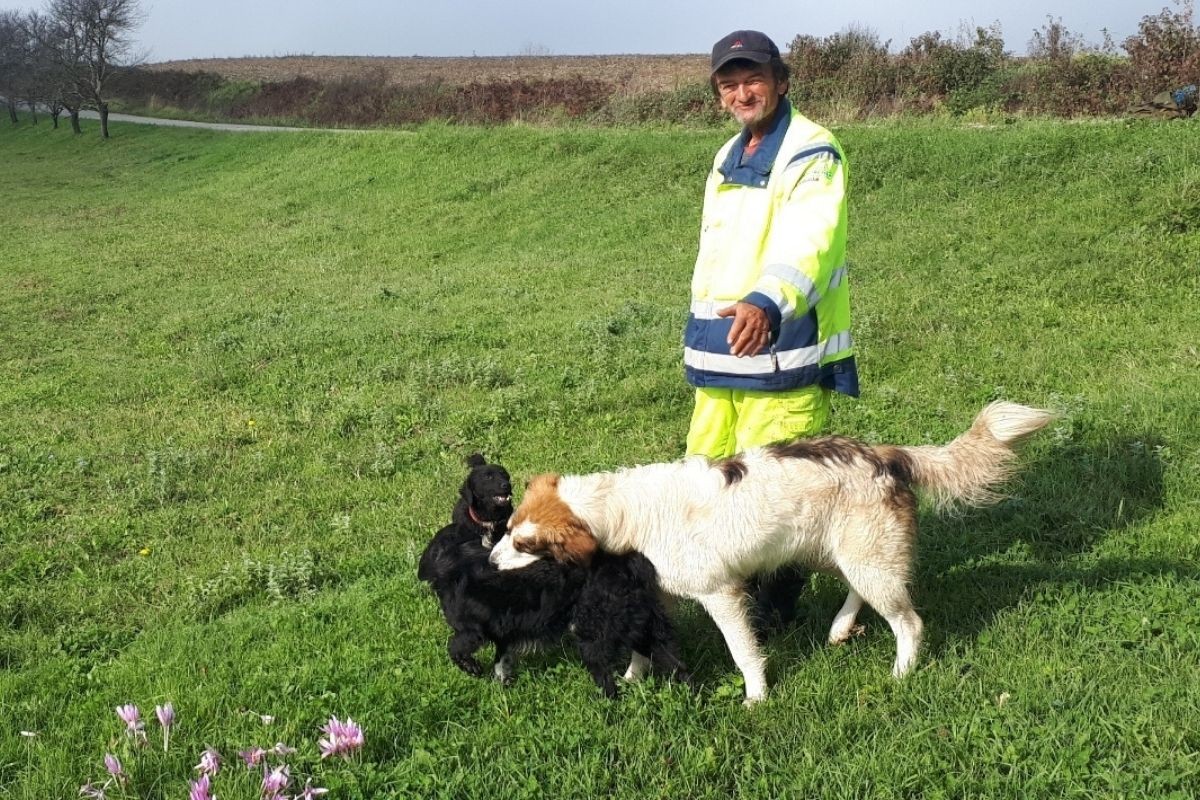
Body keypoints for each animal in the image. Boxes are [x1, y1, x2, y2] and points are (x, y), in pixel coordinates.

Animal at [420, 453, 686, 695]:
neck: (457, 563)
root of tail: (631, 567)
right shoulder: (503, 632)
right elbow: (501, 661)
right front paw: (502, 683)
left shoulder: (471, 632)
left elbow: (455, 648)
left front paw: (472, 668)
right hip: (644, 629)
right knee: (675, 663)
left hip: (594, 635)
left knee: (607, 681)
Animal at [487, 402, 1051, 705]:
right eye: (509, 529)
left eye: (524, 545)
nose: (490, 563)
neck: (623, 510)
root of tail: (886, 454)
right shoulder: (656, 597)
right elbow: (642, 647)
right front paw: (633, 680)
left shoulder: (721, 595)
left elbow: (743, 652)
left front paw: (756, 697)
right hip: (837, 552)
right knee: (859, 592)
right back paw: (840, 628)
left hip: (866, 558)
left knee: (909, 623)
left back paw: (900, 673)